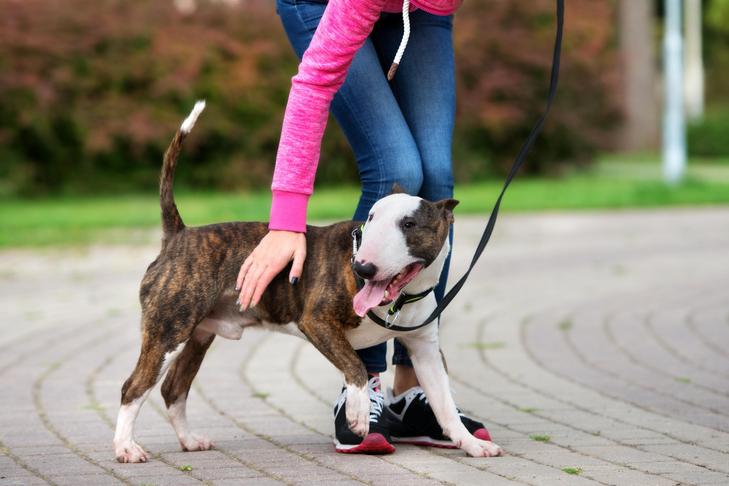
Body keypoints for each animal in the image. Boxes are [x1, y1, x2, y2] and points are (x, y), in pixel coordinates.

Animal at [114, 101, 500, 464]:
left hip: (198, 335)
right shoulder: (317, 321)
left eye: (409, 224)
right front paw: (358, 418)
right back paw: (126, 448)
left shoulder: (425, 349)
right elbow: (357, 367)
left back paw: (189, 441)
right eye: (371, 218)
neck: (401, 299)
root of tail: (178, 235)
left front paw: (471, 443)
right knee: (133, 387)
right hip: (170, 331)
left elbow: (444, 404)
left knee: (172, 389)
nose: (362, 268)